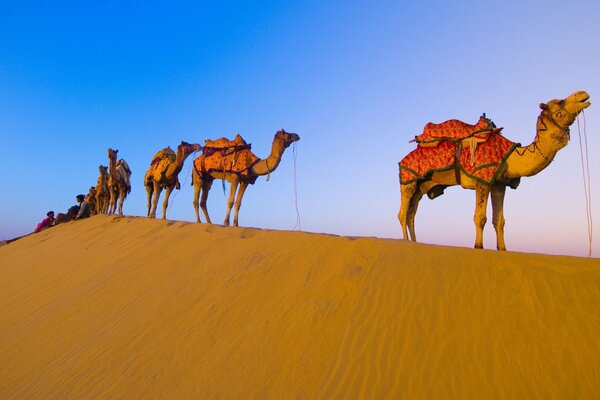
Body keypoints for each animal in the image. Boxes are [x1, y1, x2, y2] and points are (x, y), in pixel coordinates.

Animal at [398, 90, 592, 250]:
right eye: (559, 104)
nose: (583, 94)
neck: (511, 156)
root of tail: (403, 158)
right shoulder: (482, 180)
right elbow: (480, 218)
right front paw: (478, 246)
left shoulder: (499, 184)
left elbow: (499, 221)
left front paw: (503, 249)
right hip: (408, 181)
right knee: (403, 213)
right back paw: (406, 241)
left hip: (422, 186)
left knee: (412, 214)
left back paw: (414, 242)